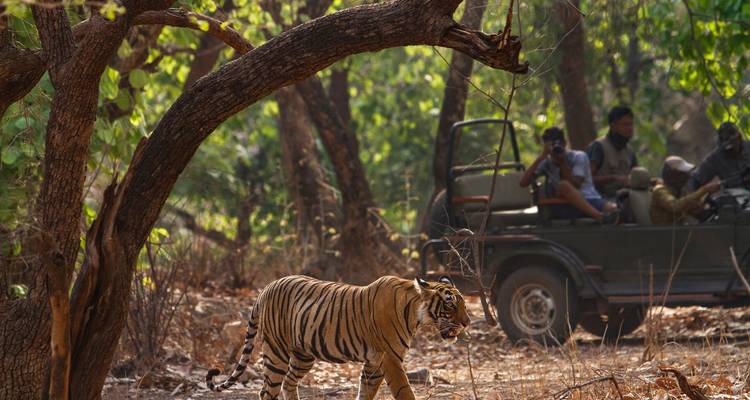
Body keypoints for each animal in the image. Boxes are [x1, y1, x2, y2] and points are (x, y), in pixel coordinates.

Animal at [205, 274, 470, 400]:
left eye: (464, 304)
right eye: (450, 304)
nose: (467, 322)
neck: (415, 312)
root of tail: (264, 289)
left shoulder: (374, 363)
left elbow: (366, 392)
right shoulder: (390, 359)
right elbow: (405, 392)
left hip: (303, 355)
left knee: (289, 383)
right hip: (276, 351)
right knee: (267, 391)